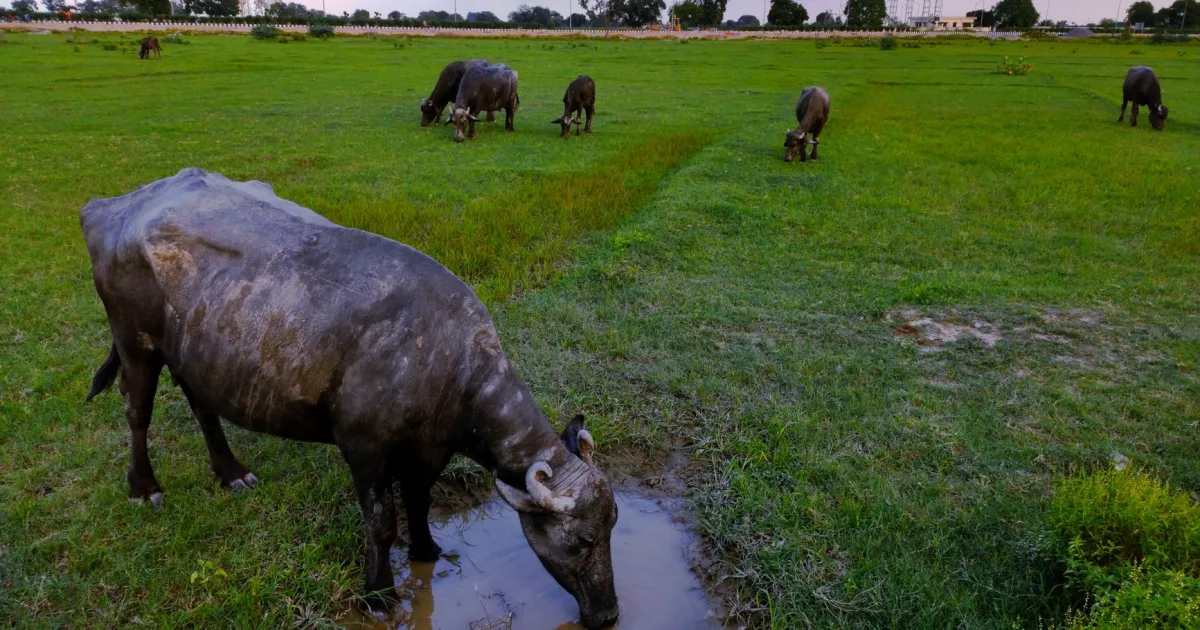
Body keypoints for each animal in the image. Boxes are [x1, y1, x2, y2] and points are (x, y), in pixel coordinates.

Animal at [81, 168, 620, 630]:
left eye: (614, 524)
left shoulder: (430, 449)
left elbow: (419, 499)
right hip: (134, 343)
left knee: (201, 405)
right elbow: (380, 523)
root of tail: (111, 207)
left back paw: (231, 472)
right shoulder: (364, 448)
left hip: (195, 354)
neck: (446, 360)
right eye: (585, 539)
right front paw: (379, 594)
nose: (610, 614)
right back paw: (144, 486)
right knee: (137, 411)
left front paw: (426, 550)